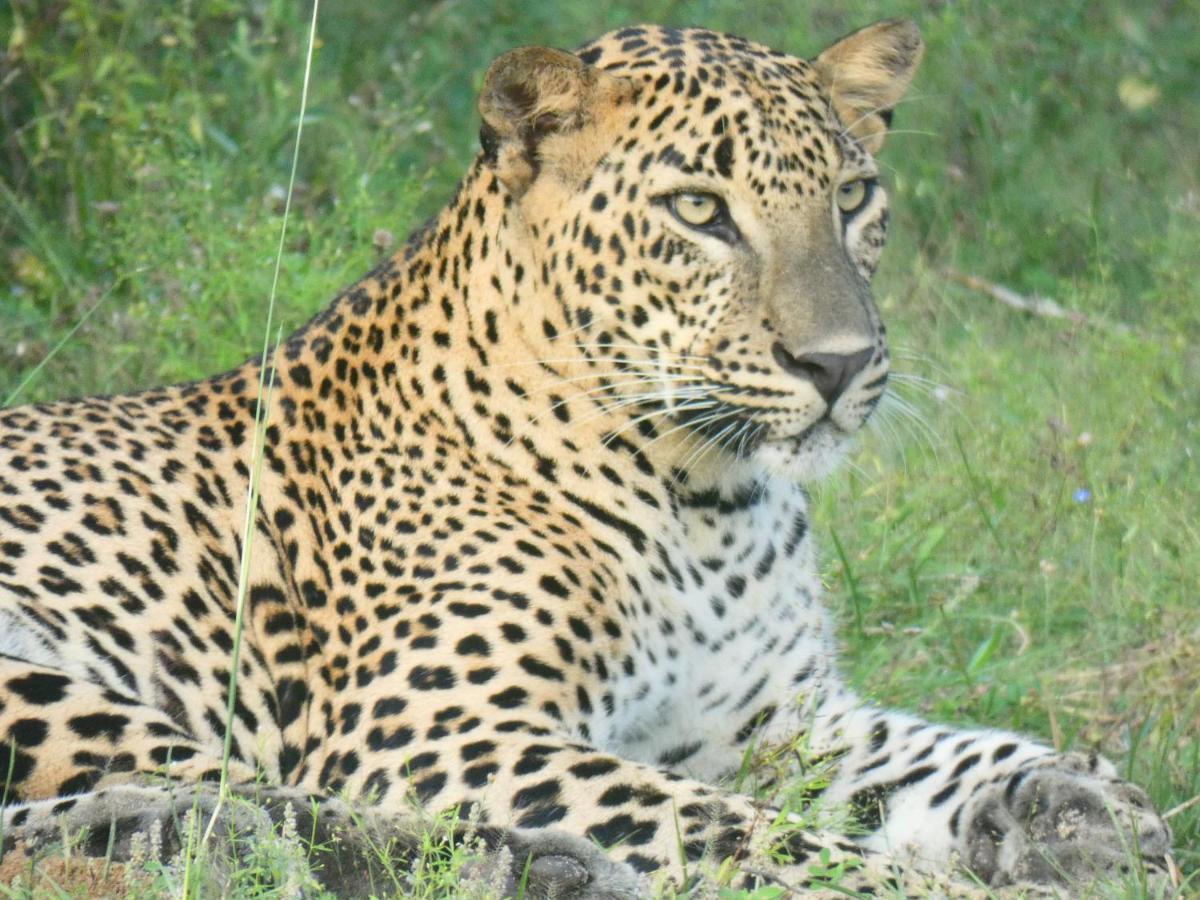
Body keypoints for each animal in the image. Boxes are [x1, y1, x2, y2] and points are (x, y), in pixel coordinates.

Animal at [0, 17, 1176, 897]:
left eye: (852, 198)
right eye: (699, 210)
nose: (838, 364)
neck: (707, 496)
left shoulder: (777, 718)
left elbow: (933, 751)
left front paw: (1083, 802)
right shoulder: (427, 730)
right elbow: (730, 827)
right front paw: (926, 875)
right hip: (45, 680)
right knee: (237, 807)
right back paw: (528, 869)